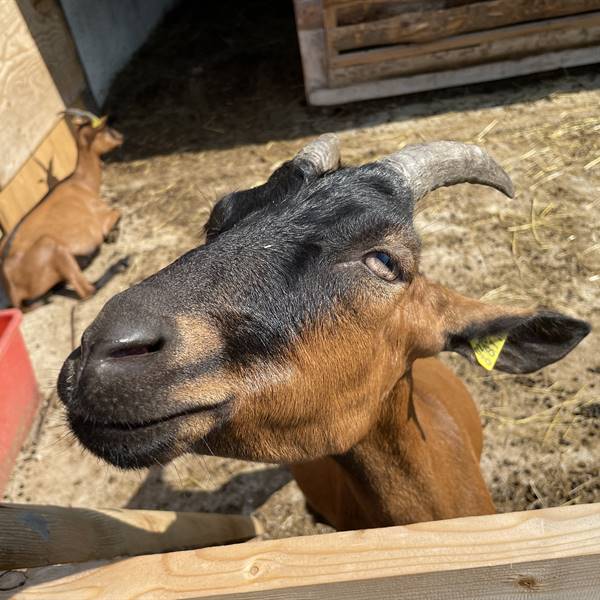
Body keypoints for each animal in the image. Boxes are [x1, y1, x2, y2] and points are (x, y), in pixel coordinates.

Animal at [1, 108, 129, 312]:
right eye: (106, 129)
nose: (122, 137)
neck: (81, 182)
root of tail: (11, 288)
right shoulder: (102, 218)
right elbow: (119, 211)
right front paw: (112, 235)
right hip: (52, 246)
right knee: (87, 291)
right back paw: (119, 264)